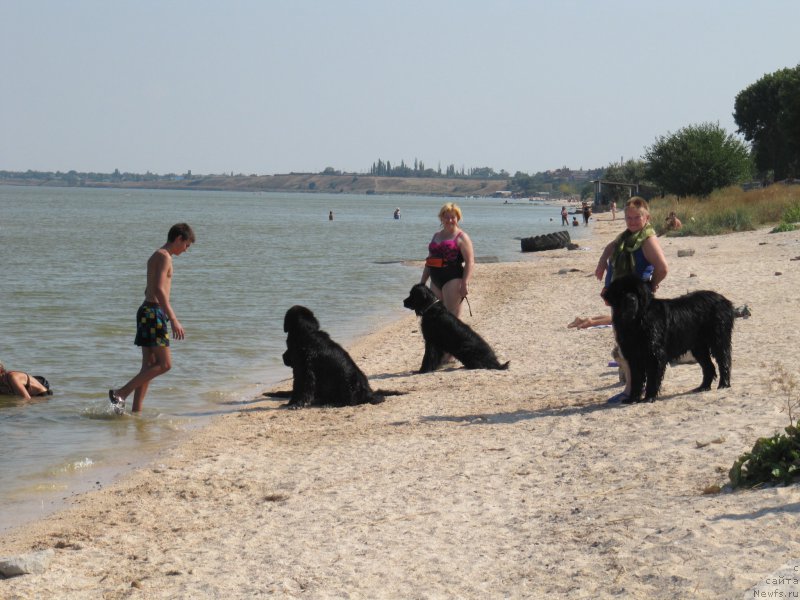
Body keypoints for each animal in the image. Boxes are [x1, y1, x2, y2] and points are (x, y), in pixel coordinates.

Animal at [604, 276, 736, 404]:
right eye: (622, 292)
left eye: (637, 293)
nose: (631, 300)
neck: (636, 322)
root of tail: (724, 300)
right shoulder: (634, 356)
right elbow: (636, 379)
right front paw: (633, 398)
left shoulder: (654, 356)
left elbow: (652, 378)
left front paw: (649, 397)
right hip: (698, 347)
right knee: (709, 366)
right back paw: (703, 387)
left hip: (718, 339)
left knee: (724, 360)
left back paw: (724, 384)